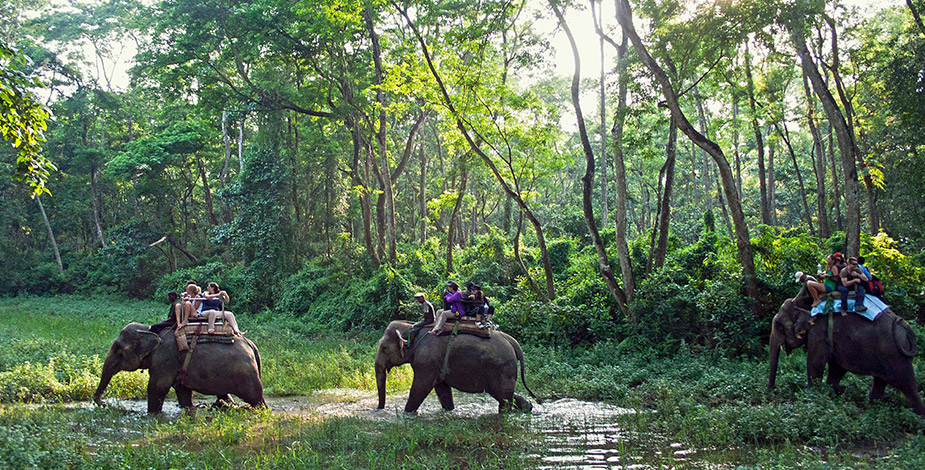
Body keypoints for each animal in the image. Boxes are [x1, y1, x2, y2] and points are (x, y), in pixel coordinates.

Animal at [94, 324, 266, 412]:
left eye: (118, 349)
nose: (104, 403)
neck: (150, 331)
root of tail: (251, 344)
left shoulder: (165, 358)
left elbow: (157, 387)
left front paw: (152, 414)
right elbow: (182, 390)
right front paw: (189, 408)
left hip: (246, 374)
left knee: (256, 398)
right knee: (225, 394)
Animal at [374, 322, 536, 414]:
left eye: (384, 348)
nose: (379, 409)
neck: (411, 327)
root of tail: (512, 341)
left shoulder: (426, 360)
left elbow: (421, 386)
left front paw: (406, 413)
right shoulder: (435, 363)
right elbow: (442, 388)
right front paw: (449, 410)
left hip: (501, 369)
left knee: (503, 396)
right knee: (507, 395)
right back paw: (528, 408)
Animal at [764, 286, 924, 414]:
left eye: (778, 324)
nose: (771, 392)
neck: (805, 305)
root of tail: (904, 325)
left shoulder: (819, 334)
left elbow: (815, 365)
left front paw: (813, 397)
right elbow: (837, 368)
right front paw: (837, 390)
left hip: (895, 356)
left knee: (907, 386)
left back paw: (917, 417)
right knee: (880, 381)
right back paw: (872, 409)